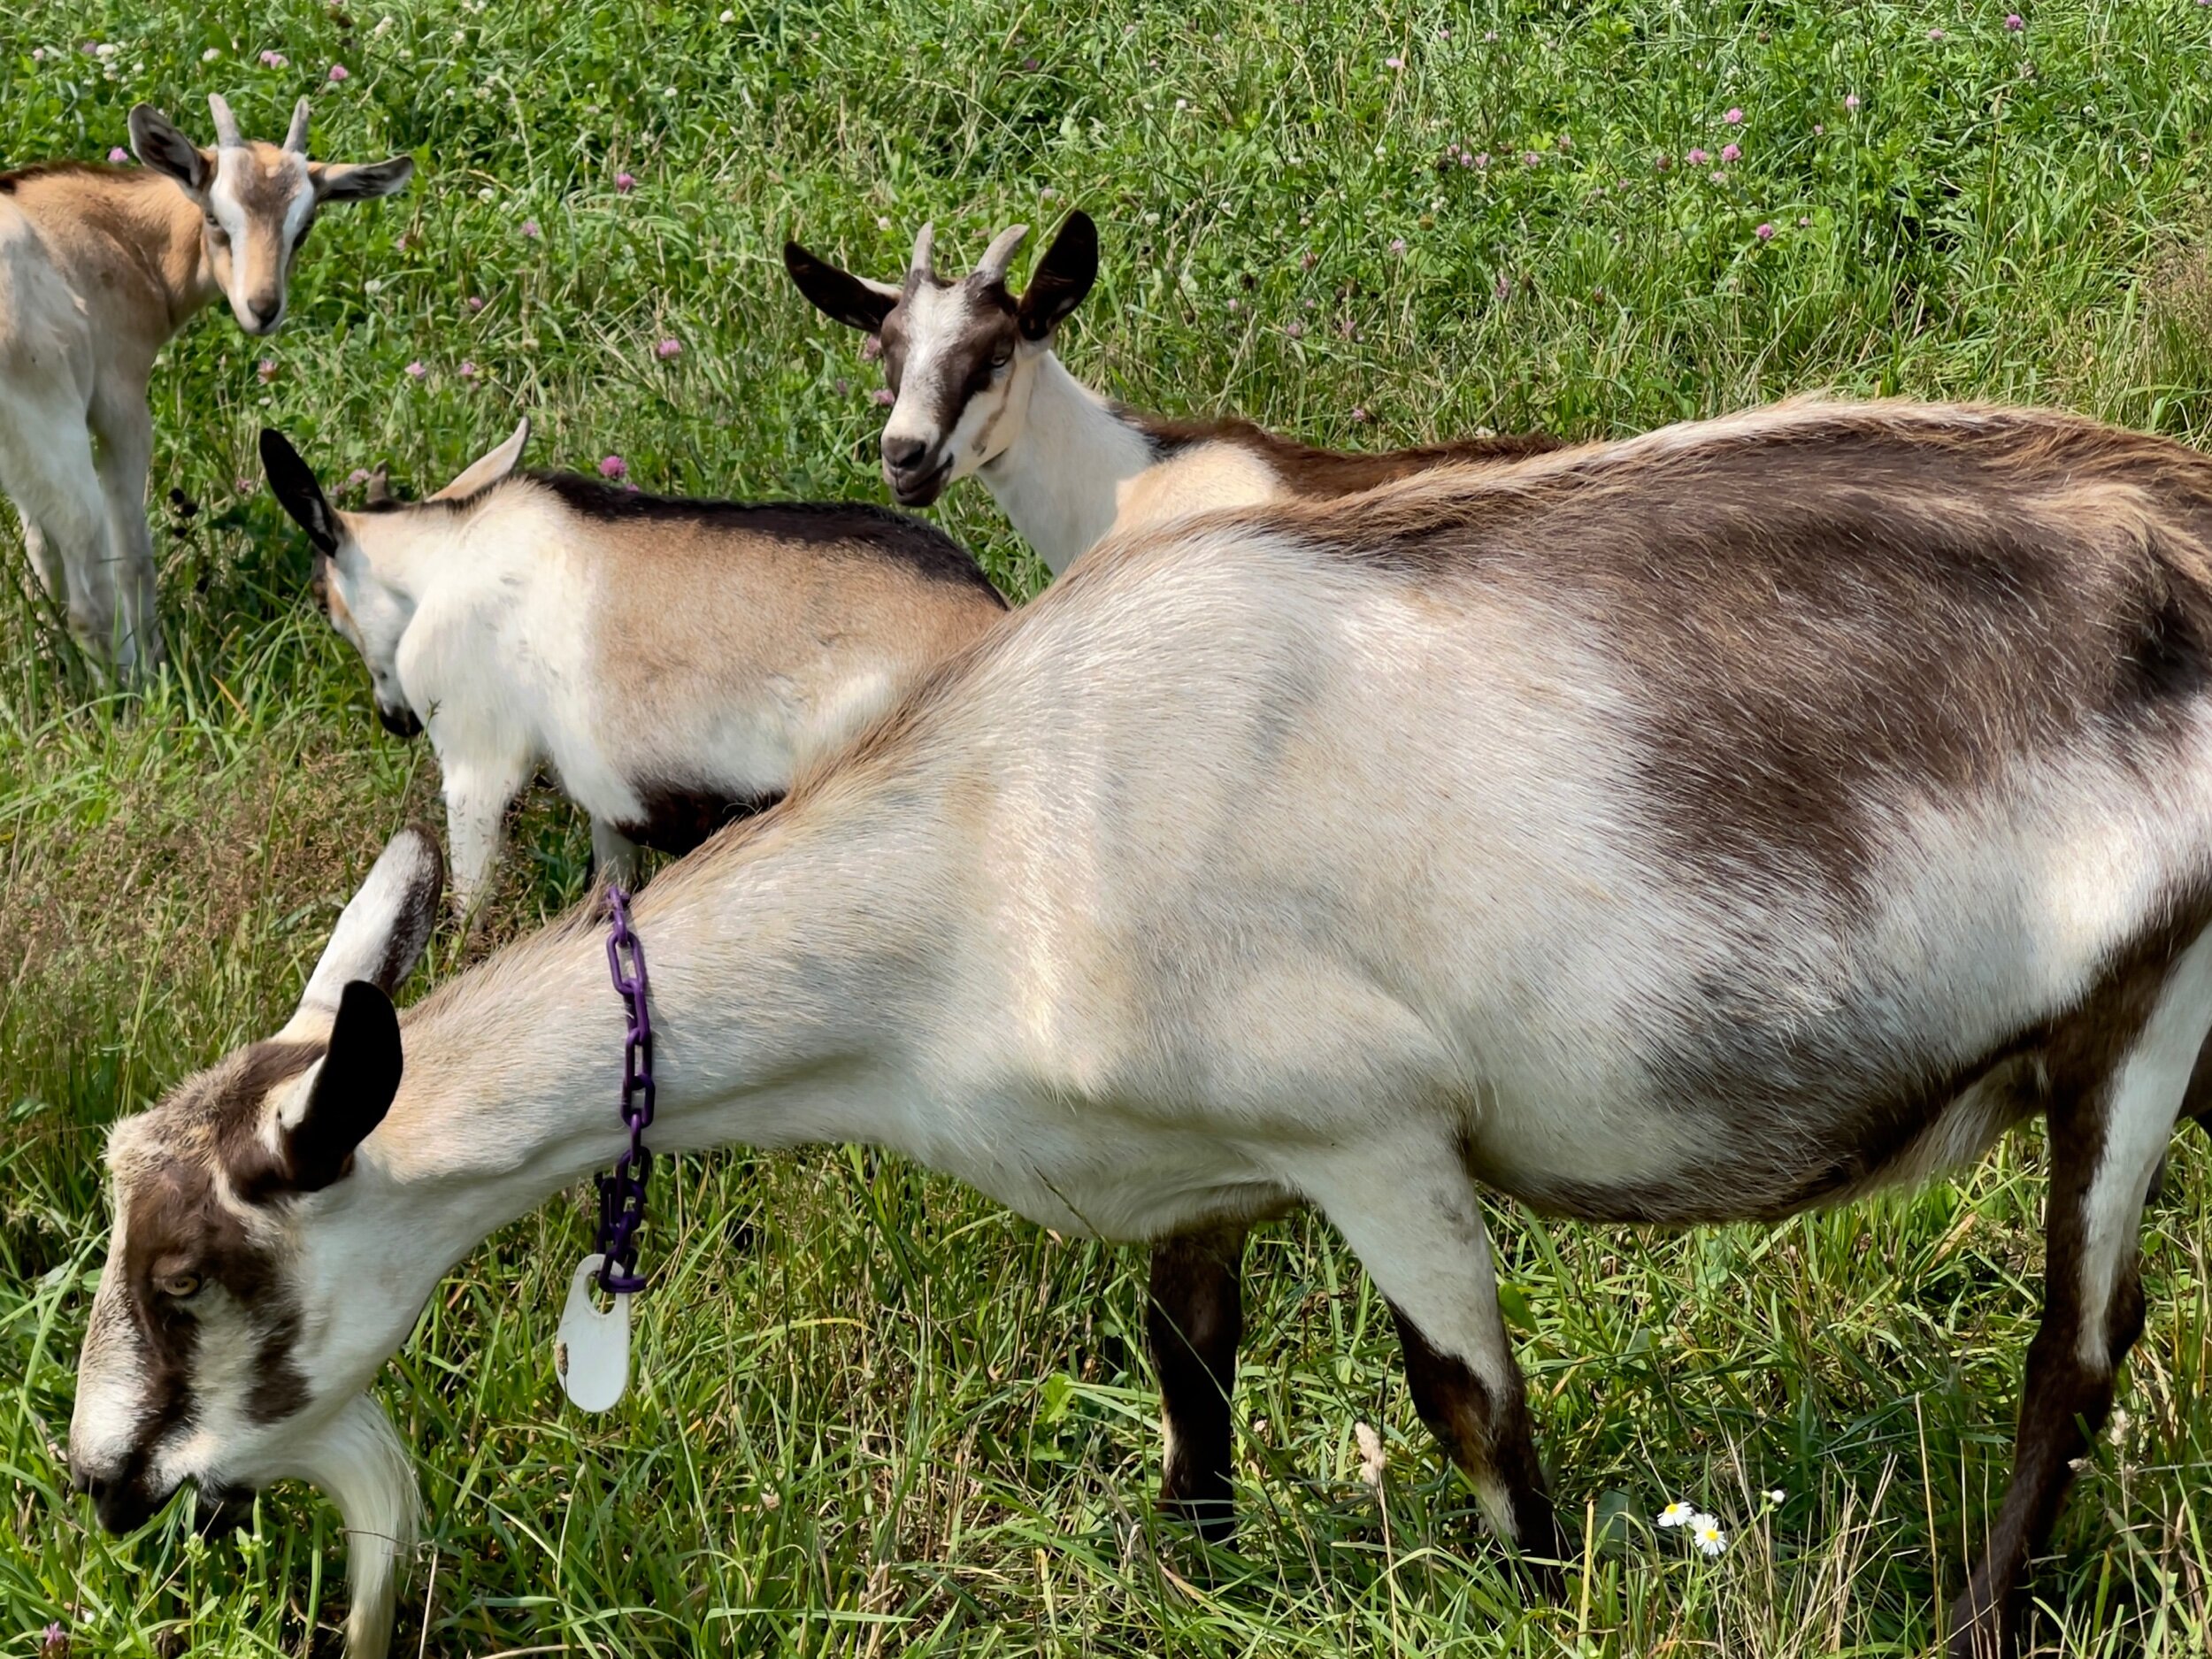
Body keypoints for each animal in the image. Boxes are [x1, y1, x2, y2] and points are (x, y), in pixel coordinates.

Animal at [0, 96, 410, 682]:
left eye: (305, 224)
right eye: (216, 218)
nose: (262, 308)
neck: (110, 234)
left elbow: (39, 550)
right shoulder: (118, 401)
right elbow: (132, 555)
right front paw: (153, 665)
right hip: (53, 427)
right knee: (91, 597)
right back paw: (135, 690)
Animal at [258, 421, 1006, 915]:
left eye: (327, 605)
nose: (395, 721)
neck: (447, 553)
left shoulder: (476, 756)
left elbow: (472, 898)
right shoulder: (608, 800)